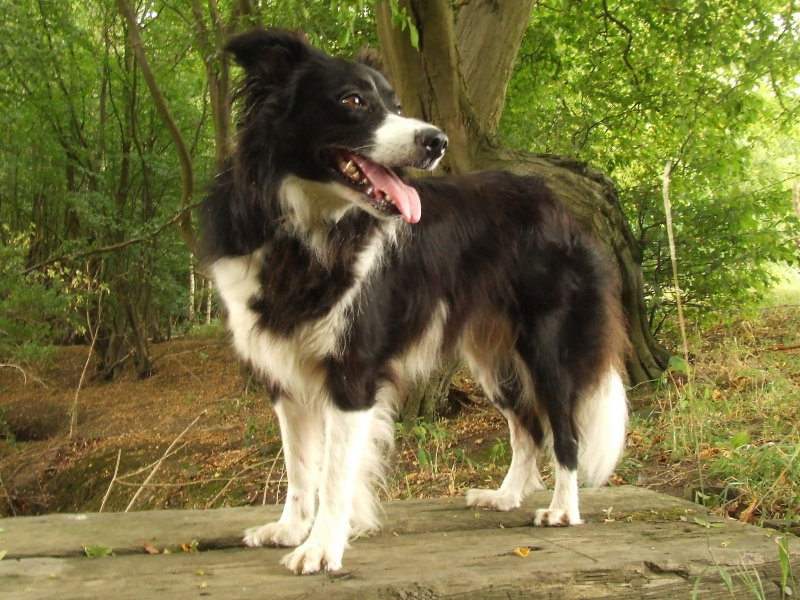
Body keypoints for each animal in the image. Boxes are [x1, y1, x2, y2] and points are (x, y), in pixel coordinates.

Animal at [203, 30, 628, 576]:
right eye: (352, 101)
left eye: (397, 105)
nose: (437, 141)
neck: (304, 229)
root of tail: (558, 207)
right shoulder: (284, 374)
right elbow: (299, 466)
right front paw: (291, 529)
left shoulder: (355, 373)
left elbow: (335, 473)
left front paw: (321, 547)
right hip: (492, 359)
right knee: (529, 428)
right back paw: (505, 496)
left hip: (548, 347)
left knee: (565, 431)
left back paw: (563, 510)